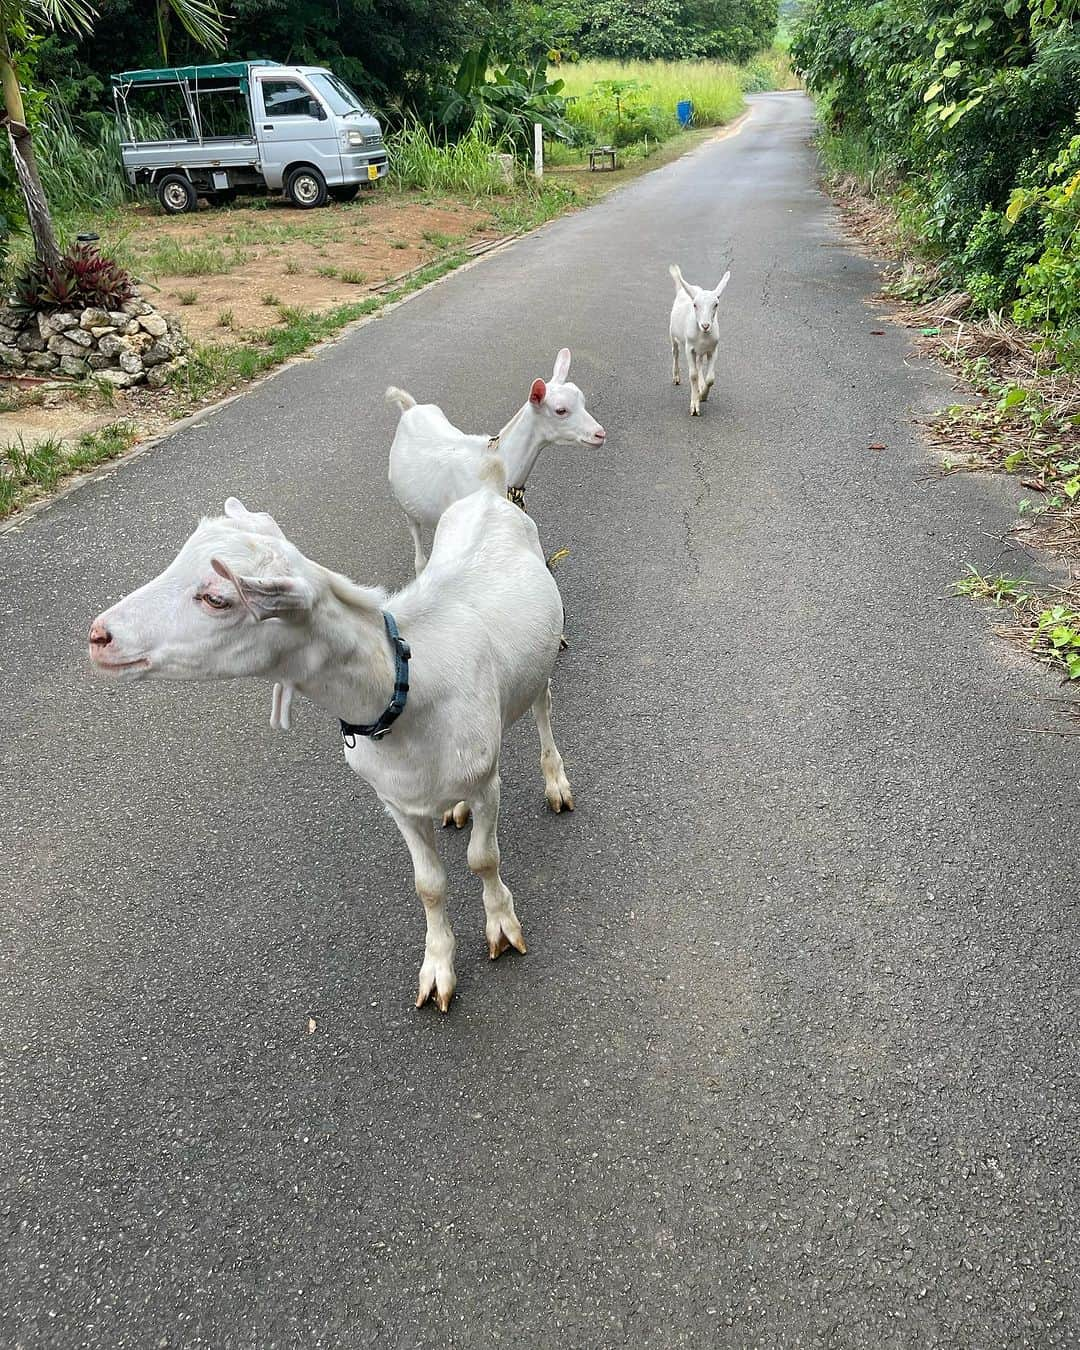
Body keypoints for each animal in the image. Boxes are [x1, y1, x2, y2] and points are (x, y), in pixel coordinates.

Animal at [86, 477, 572, 1015]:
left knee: (544, 708)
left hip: (541, 663)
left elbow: (482, 859)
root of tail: (489, 493)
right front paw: (436, 968)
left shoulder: (487, 782)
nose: (99, 636)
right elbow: (428, 886)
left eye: (217, 598)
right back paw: (454, 808)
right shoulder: (396, 801)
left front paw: (501, 928)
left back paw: (556, 782)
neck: (408, 686)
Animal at [383, 345, 602, 572]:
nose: (599, 434)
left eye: (583, 401)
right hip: (407, 504)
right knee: (416, 538)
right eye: (561, 410)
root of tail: (410, 408)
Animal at [669, 260, 729, 413]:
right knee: (675, 352)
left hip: (701, 350)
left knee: (699, 362)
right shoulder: (689, 348)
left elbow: (710, 378)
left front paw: (702, 395)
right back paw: (676, 377)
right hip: (673, 334)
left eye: (716, 304)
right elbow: (693, 375)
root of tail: (683, 289)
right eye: (695, 305)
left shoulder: (713, 349)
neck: (703, 335)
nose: (705, 325)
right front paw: (694, 406)